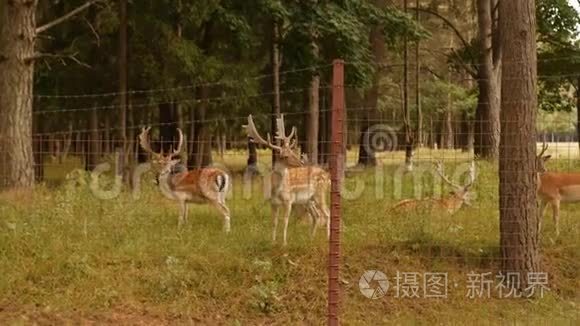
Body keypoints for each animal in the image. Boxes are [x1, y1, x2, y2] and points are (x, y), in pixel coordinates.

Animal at [242, 114, 328, 244]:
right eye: (286, 156)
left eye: (292, 151)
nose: (301, 162)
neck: (275, 190)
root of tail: (327, 175)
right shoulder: (273, 203)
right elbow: (274, 222)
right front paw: (272, 242)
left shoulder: (289, 201)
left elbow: (285, 222)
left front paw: (284, 243)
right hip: (309, 200)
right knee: (316, 215)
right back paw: (311, 239)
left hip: (320, 194)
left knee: (327, 214)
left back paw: (328, 238)